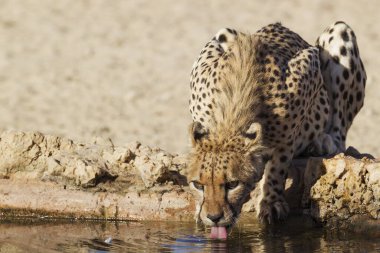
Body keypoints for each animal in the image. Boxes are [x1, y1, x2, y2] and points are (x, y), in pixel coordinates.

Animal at [186, 21, 366, 237]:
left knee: (339, 132)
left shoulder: (310, 63)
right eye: (198, 184)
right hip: (224, 33)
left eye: (232, 184)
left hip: (340, 31)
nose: (214, 217)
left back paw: (323, 142)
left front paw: (271, 202)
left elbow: (279, 162)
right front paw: (199, 208)